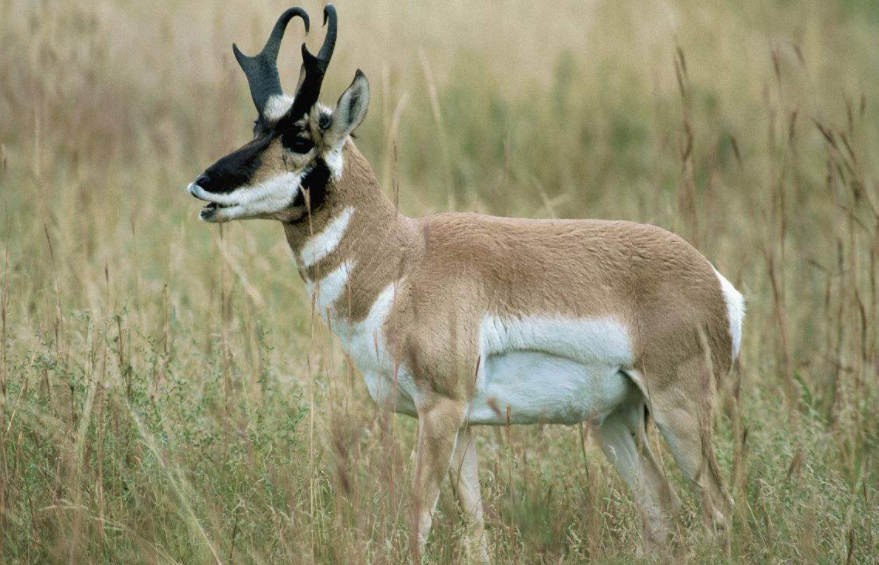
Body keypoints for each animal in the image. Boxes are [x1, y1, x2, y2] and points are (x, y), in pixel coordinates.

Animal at [187, 5, 744, 560]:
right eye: (258, 125)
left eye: (300, 138)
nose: (202, 184)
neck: (402, 260)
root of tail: (718, 284)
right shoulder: (463, 425)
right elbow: (475, 528)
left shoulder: (441, 412)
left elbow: (419, 518)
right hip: (614, 419)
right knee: (661, 507)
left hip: (678, 411)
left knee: (718, 508)